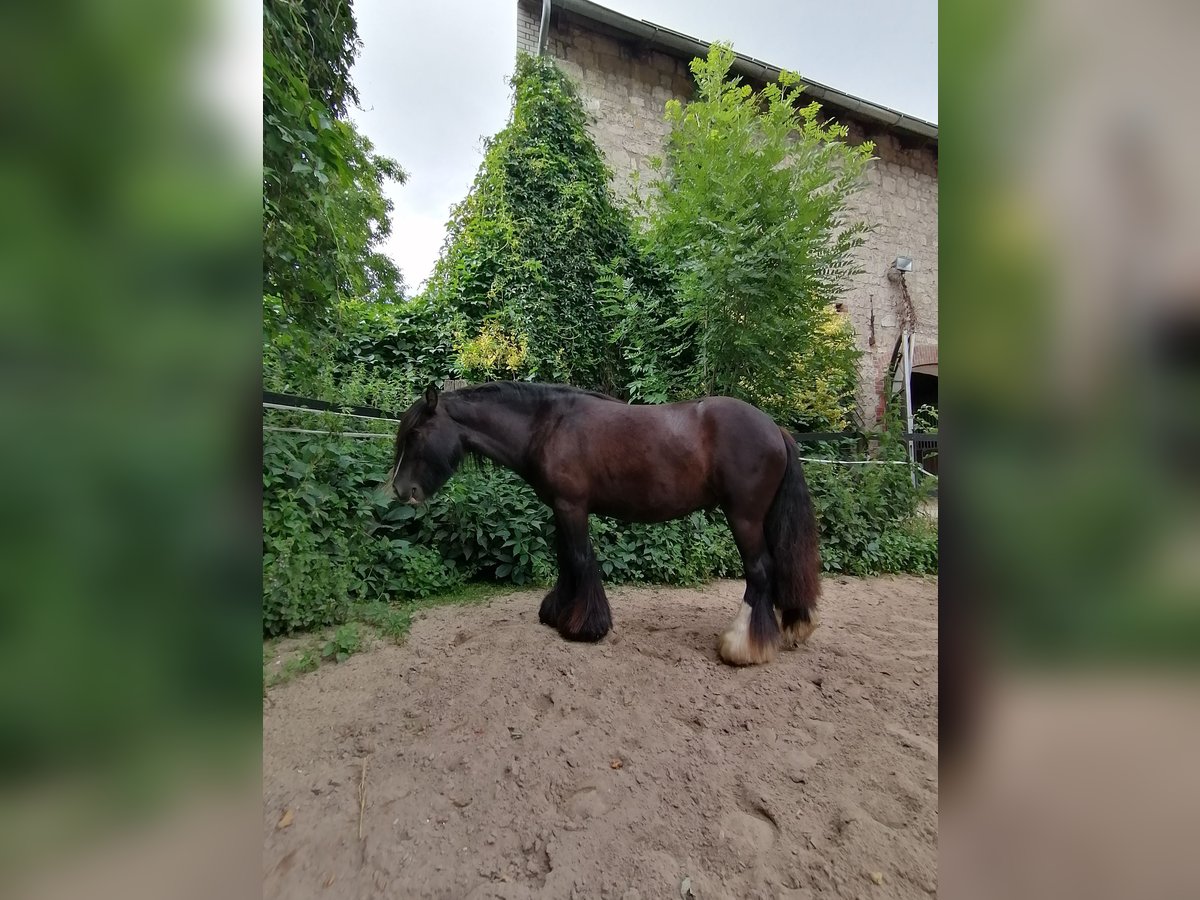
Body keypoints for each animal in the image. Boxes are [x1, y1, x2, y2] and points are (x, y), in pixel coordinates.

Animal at [388, 384, 820, 667]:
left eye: (416, 433)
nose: (399, 490)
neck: (547, 425)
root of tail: (775, 429)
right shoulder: (560, 509)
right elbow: (565, 560)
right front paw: (557, 613)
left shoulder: (572, 507)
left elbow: (579, 559)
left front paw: (585, 626)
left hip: (743, 517)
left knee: (760, 571)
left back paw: (742, 646)